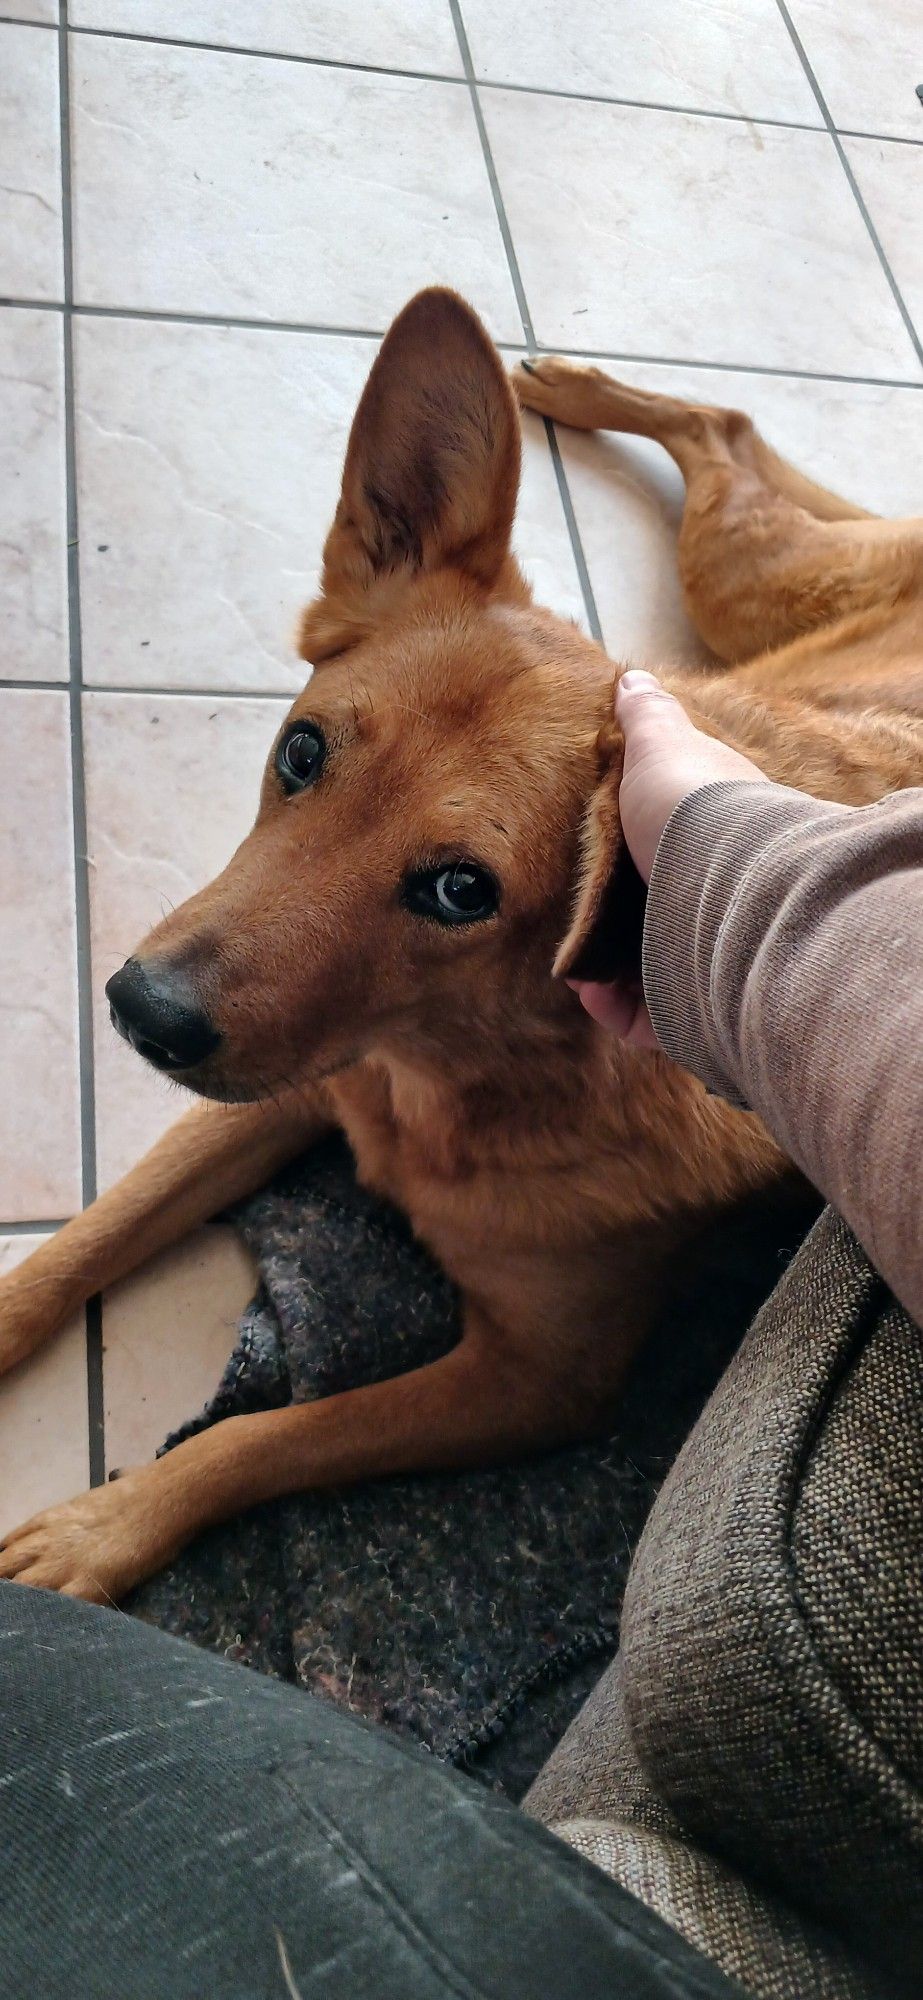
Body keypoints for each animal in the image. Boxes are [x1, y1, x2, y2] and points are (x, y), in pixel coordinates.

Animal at [1, 292, 923, 1608]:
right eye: (301, 751)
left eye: (457, 889)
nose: (143, 1010)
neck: (455, 1074)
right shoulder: (287, 1088)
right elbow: (90, 1234)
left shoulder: (531, 1382)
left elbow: (265, 1434)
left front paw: (103, 1524)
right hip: (746, 585)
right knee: (726, 428)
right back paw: (577, 386)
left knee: (730, 429)